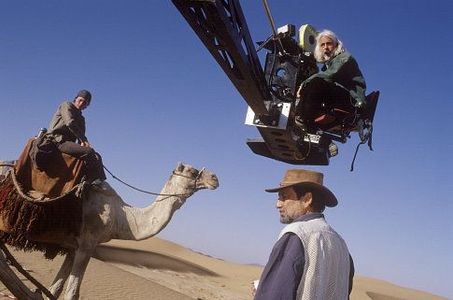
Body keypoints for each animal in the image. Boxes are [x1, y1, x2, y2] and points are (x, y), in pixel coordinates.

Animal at [0, 162, 219, 300]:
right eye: (192, 171)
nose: (215, 178)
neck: (122, 217)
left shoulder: (73, 247)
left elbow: (56, 288)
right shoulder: (88, 245)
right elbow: (72, 292)